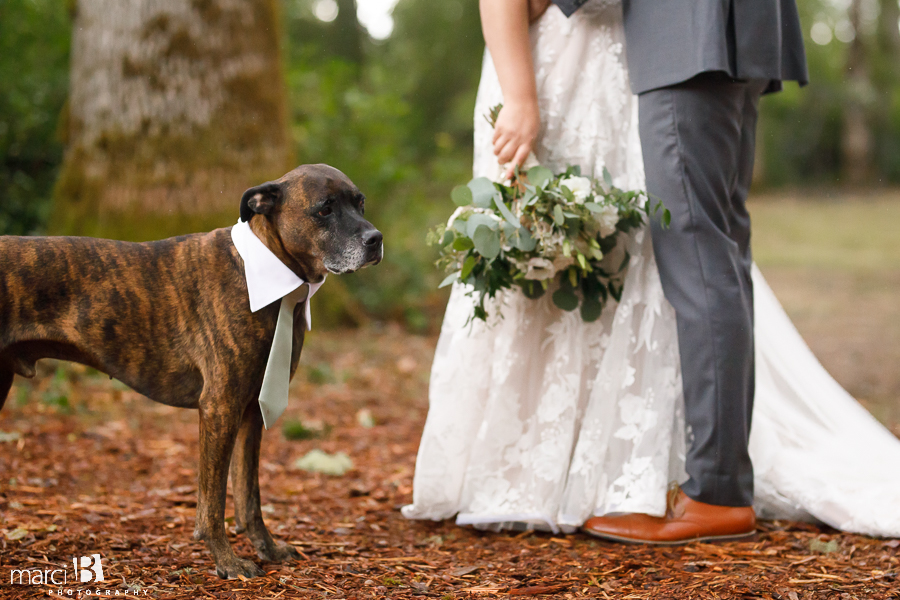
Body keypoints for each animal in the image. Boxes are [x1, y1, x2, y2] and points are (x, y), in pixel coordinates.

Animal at [0, 163, 384, 576]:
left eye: (360, 203)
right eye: (324, 209)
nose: (376, 239)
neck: (260, 267)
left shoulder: (251, 410)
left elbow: (248, 495)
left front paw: (266, 548)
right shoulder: (220, 407)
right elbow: (213, 500)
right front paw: (227, 560)